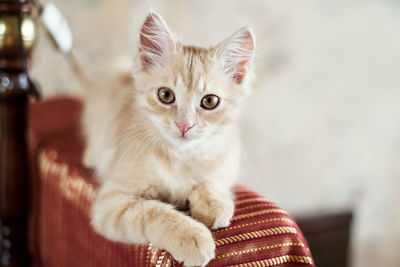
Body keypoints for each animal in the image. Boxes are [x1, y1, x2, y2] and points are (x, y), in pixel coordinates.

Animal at [83, 12, 256, 266]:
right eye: (165, 95)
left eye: (209, 101)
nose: (184, 125)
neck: (180, 158)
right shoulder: (112, 202)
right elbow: (153, 211)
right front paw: (191, 235)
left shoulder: (226, 163)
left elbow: (212, 182)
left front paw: (215, 204)